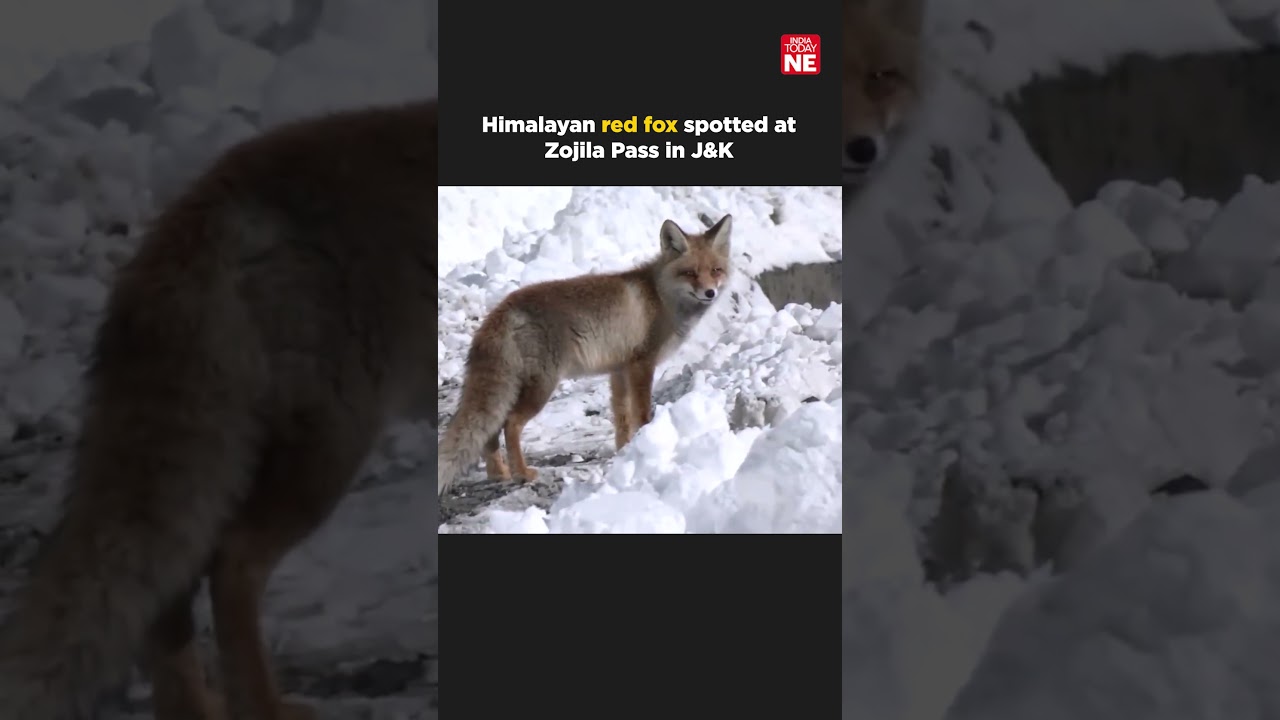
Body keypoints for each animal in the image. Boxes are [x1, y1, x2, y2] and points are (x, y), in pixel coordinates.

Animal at [0, 99, 436, 719]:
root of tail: (205, 204)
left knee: (167, 594)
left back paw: (193, 708)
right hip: (327, 450)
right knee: (230, 566)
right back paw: (263, 707)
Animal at [436, 214, 733, 496]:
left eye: (715, 270)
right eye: (690, 273)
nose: (710, 292)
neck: (661, 296)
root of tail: (501, 310)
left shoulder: (619, 369)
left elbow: (622, 418)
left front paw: (625, 453)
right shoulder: (642, 364)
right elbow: (641, 414)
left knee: (491, 432)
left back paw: (499, 473)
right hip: (541, 387)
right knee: (510, 424)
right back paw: (521, 473)